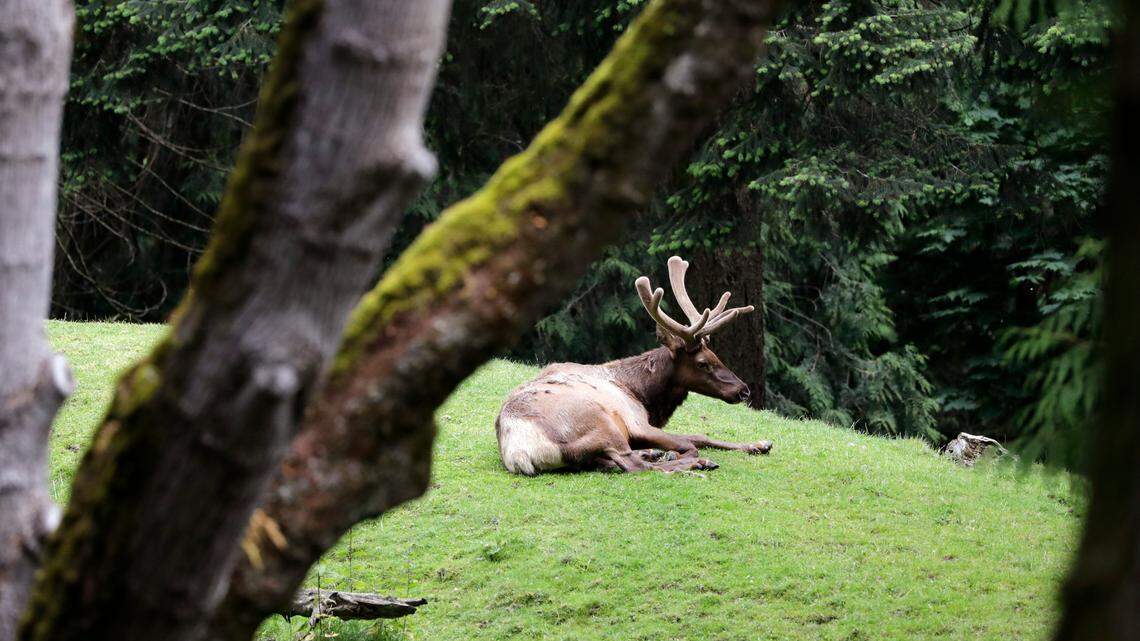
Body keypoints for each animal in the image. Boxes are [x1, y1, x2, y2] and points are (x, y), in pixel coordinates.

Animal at [495, 255, 773, 475]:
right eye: (703, 363)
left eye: (716, 355)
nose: (743, 390)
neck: (641, 392)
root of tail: (519, 453)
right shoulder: (637, 421)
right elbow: (691, 442)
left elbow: (700, 436)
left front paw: (760, 444)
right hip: (602, 424)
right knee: (634, 464)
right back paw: (694, 464)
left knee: (614, 462)